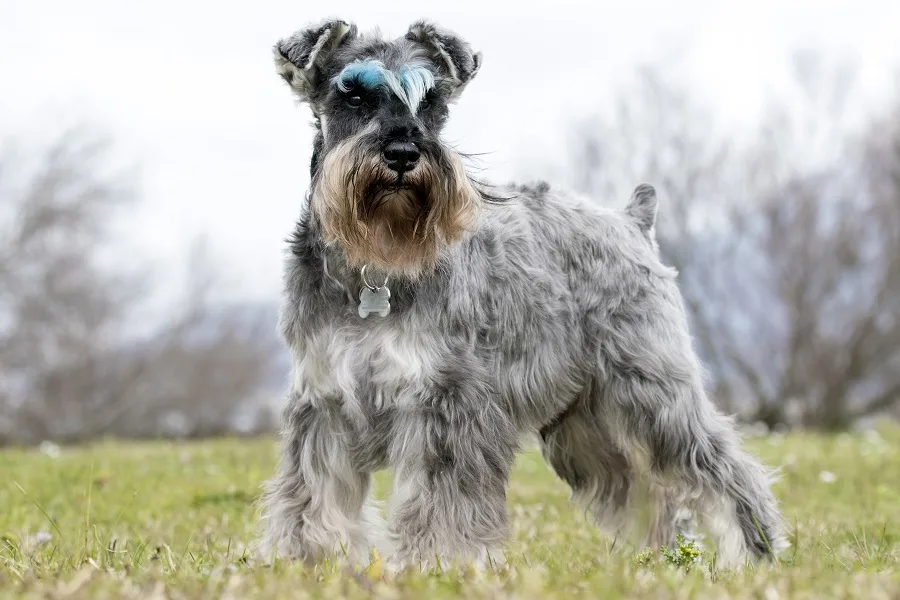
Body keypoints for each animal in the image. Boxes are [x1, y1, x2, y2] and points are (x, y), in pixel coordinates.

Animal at [255, 17, 788, 572]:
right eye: (354, 95)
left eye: (432, 102)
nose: (403, 153)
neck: (374, 268)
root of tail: (632, 221)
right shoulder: (323, 401)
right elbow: (312, 494)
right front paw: (305, 562)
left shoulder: (450, 401)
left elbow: (444, 496)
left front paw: (440, 564)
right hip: (586, 425)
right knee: (648, 490)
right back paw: (659, 559)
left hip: (653, 392)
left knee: (719, 468)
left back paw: (755, 553)